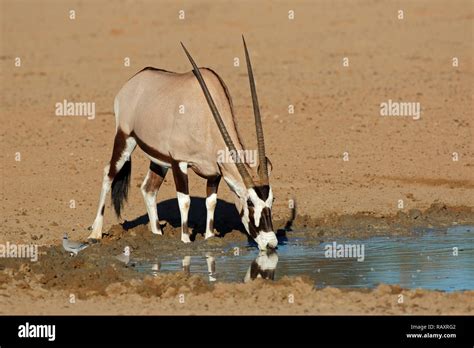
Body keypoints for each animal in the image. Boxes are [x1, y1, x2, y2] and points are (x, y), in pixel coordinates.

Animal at [88, 36, 278, 250]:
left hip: (159, 160)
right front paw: (186, 239)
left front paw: (209, 237)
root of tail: (134, 81)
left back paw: (156, 234)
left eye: (272, 200)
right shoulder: (179, 162)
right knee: (109, 174)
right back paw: (95, 233)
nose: (271, 243)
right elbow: (185, 201)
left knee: (148, 189)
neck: (207, 116)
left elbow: (211, 202)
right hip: (125, 138)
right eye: (250, 203)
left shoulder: (214, 172)